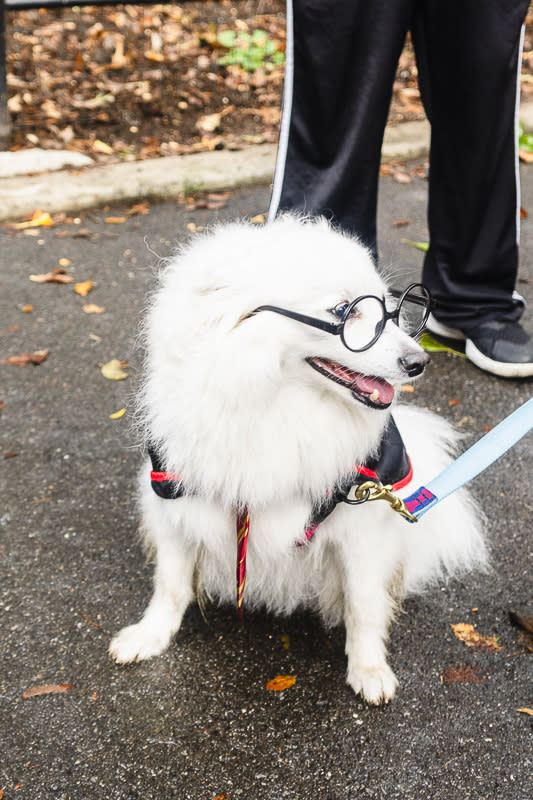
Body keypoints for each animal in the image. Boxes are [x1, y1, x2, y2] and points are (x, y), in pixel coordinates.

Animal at [109, 216, 486, 704]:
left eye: (389, 309)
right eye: (344, 311)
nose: (419, 360)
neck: (272, 401)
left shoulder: (361, 521)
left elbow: (364, 604)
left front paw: (369, 670)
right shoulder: (174, 499)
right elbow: (170, 585)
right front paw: (149, 636)